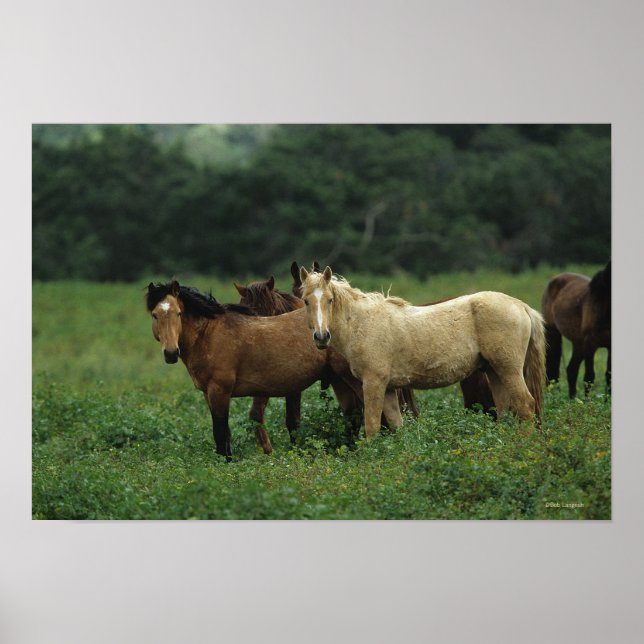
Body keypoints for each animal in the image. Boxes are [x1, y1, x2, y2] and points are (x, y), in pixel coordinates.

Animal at [146, 280, 365, 459]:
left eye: (178, 313)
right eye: (155, 315)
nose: (171, 353)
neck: (209, 334)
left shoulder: (220, 390)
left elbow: (221, 433)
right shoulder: (209, 394)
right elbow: (225, 435)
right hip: (339, 380)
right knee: (352, 416)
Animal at [299, 266, 545, 440]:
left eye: (330, 300)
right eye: (306, 301)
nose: (321, 337)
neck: (362, 323)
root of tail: (521, 306)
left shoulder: (373, 383)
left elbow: (372, 426)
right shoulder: (389, 389)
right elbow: (397, 425)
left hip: (509, 370)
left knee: (525, 405)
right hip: (494, 372)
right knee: (505, 411)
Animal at [541, 261, 611, 398]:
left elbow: (608, 376)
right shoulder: (590, 344)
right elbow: (589, 377)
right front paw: (588, 402)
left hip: (578, 343)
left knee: (571, 369)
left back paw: (572, 399)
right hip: (553, 333)